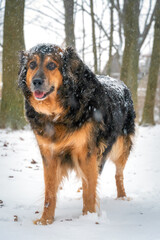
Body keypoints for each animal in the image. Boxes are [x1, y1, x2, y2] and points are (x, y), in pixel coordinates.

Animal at [18, 43, 135, 225]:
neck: (59, 112)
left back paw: (122, 197)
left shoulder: (87, 152)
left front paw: (88, 218)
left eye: (51, 65)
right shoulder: (49, 154)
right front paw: (46, 220)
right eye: (32, 65)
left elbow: (90, 191)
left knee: (118, 174)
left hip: (121, 147)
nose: (36, 82)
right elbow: (50, 192)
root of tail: (118, 81)